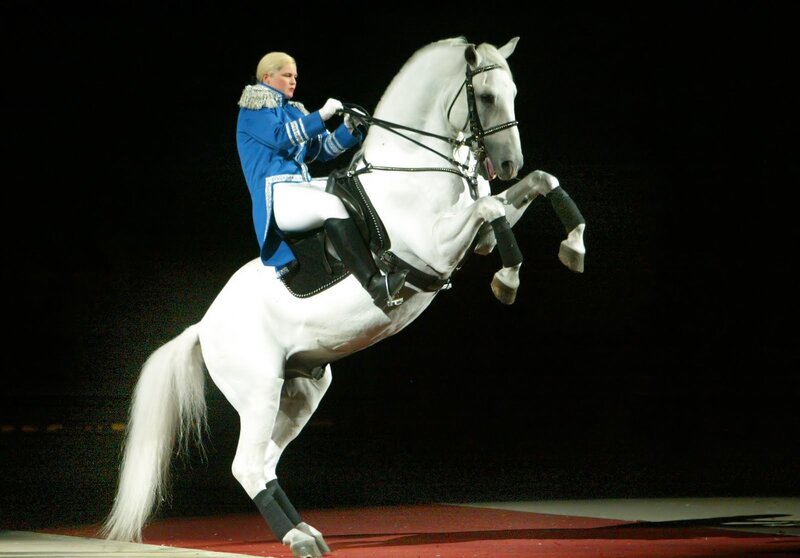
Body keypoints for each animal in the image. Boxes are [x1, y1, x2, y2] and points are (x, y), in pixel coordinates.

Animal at [100, 36, 586, 558]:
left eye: (513, 93)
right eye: (489, 96)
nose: (509, 163)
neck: (412, 168)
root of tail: (203, 326)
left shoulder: (474, 234)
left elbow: (541, 183)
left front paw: (572, 246)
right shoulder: (436, 246)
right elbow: (492, 205)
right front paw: (509, 279)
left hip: (302, 390)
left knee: (266, 463)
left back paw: (307, 531)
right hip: (258, 390)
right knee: (247, 465)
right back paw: (296, 536)